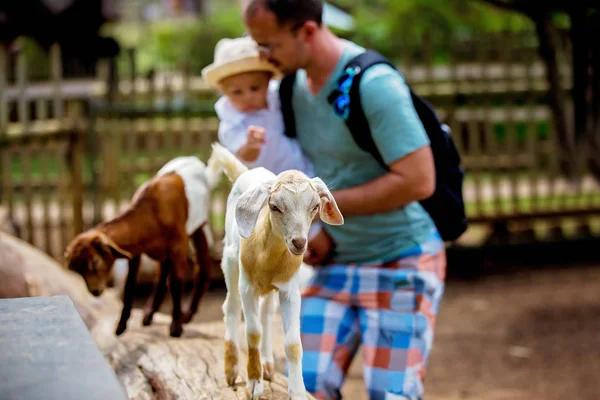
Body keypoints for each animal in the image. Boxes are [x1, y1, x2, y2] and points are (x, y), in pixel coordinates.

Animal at [65, 156, 220, 338]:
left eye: (96, 262)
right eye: (77, 270)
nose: (94, 291)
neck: (151, 213)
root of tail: (196, 162)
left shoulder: (178, 245)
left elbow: (176, 282)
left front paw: (176, 326)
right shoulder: (135, 251)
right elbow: (130, 284)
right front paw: (121, 326)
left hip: (199, 225)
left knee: (202, 266)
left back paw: (187, 315)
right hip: (163, 252)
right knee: (161, 275)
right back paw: (149, 314)